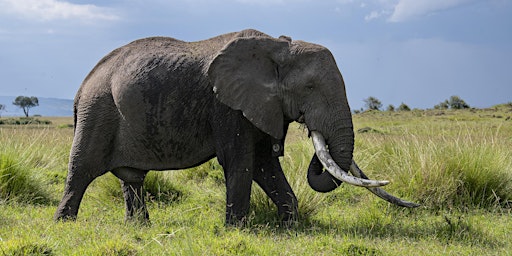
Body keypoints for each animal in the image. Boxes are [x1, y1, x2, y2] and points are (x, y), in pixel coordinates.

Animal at [54, 30, 418, 225]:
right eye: (310, 88)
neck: (278, 48)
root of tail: (81, 87)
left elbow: (264, 164)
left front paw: (290, 226)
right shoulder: (227, 106)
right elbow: (240, 162)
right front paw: (237, 229)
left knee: (132, 178)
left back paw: (138, 228)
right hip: (98, 110)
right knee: (81, 169)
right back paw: (64, 225)